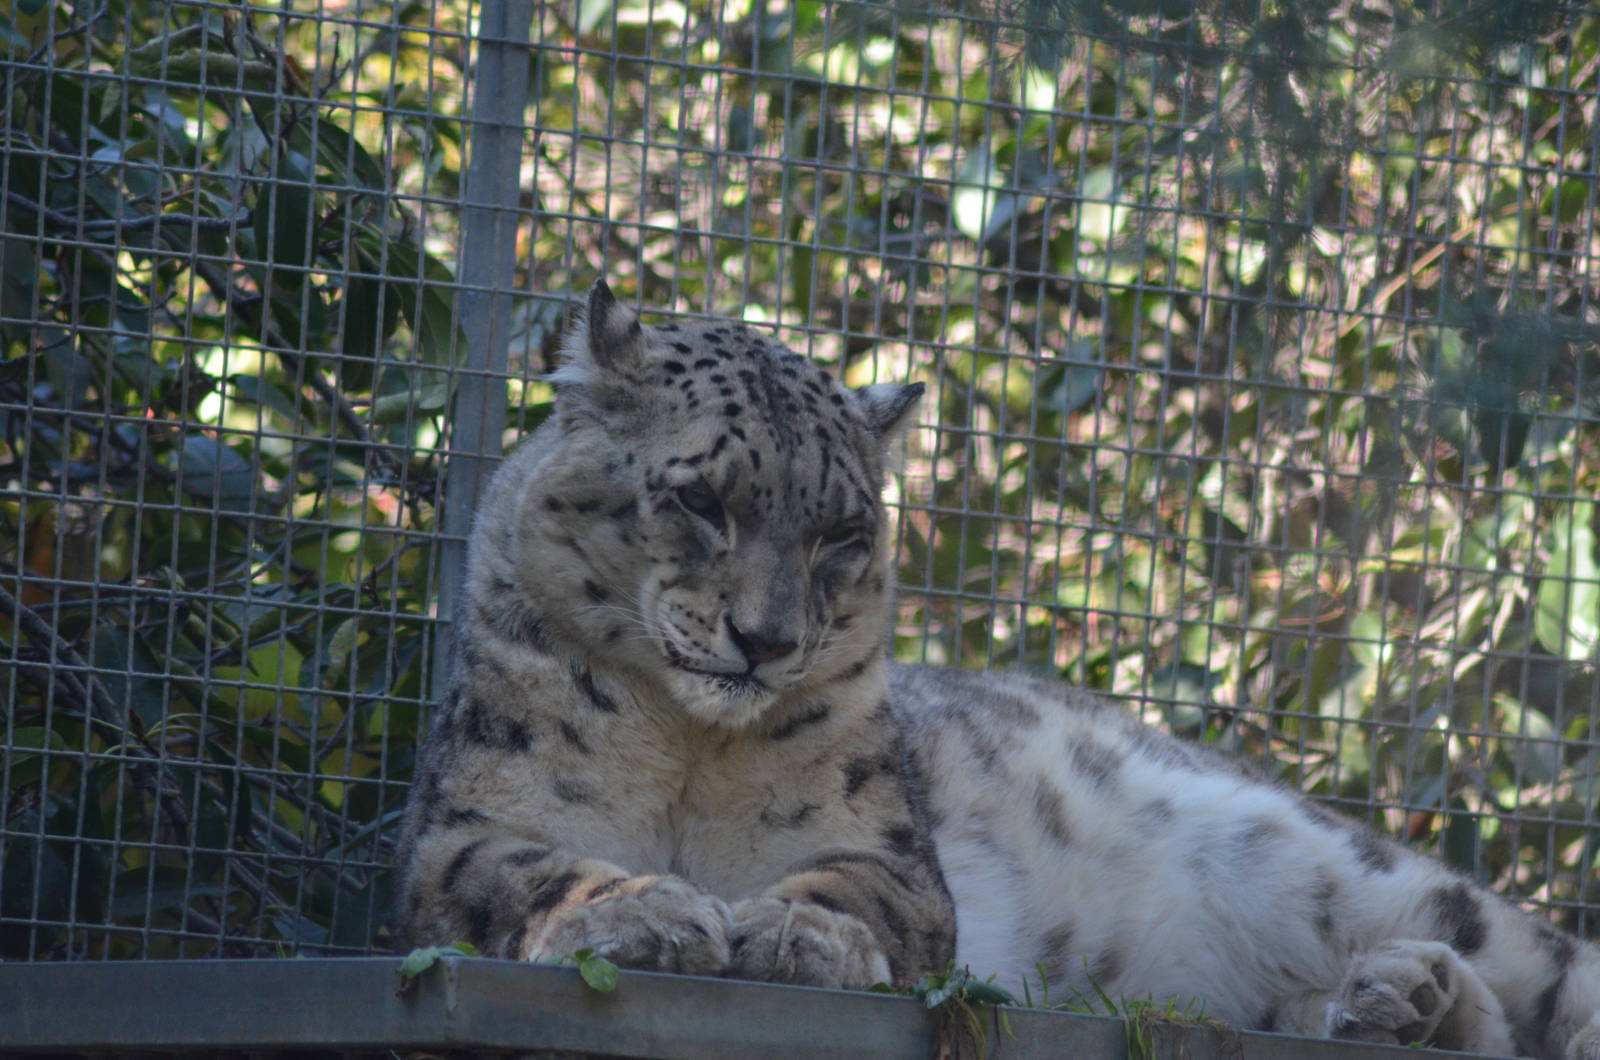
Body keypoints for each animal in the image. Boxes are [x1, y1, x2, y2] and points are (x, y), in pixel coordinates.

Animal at [396, 280, 1600, 1058]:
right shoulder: (464, 825)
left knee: (1543, 971)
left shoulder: (886, 849)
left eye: (842, 533)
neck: (692, 749)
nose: (765, 641)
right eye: (699, 500)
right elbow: (528, 870)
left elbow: (860, 888)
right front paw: (645, 912)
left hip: (1357, 868)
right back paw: (1397, 998)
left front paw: (792, 932)